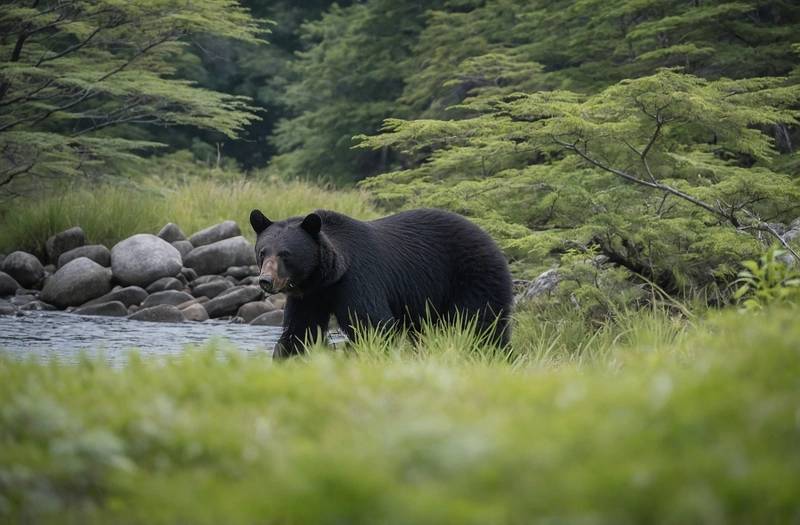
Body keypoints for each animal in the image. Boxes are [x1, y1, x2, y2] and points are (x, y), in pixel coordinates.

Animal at [249, 207, 513, 358]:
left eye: (285, 254)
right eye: (262, 252)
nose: (265, 280)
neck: (327, 276)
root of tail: (492, 241)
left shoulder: (358, 279)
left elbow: (373, 325)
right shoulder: (310, 296)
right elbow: (299, 331)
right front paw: (286, 356)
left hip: (473, 278)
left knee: (480, 324)